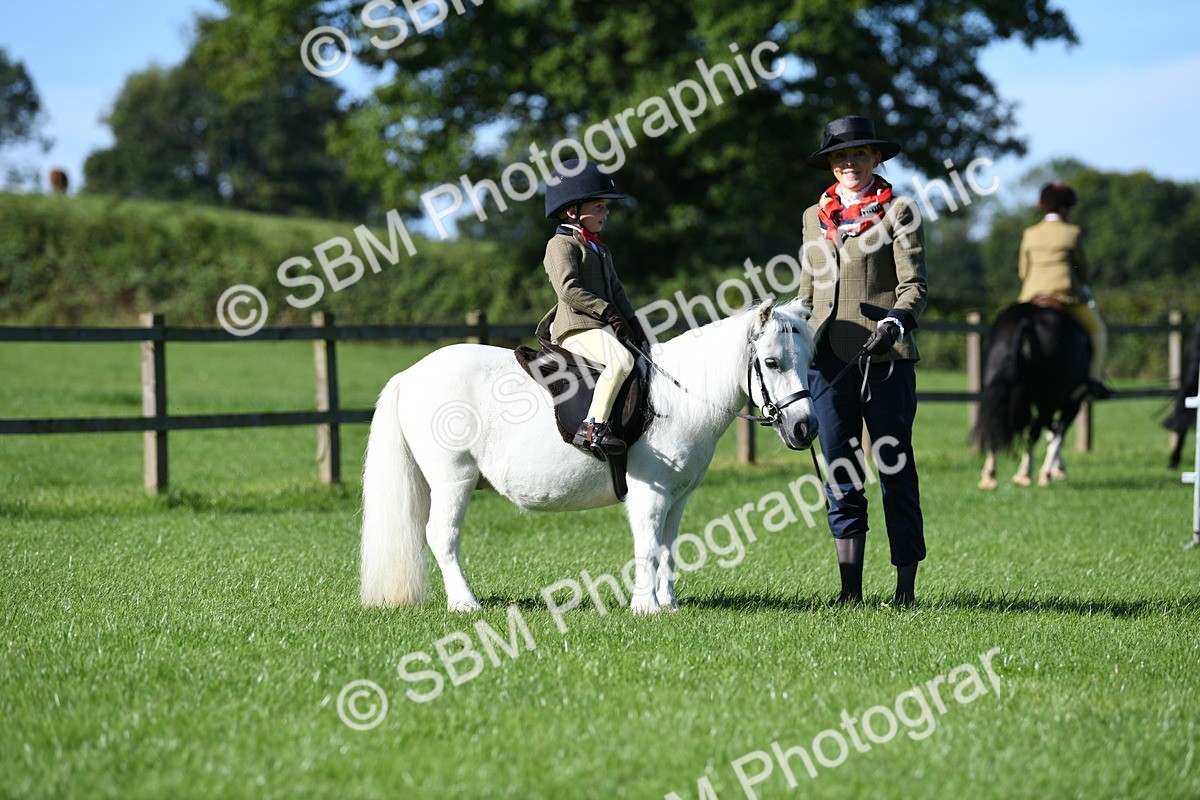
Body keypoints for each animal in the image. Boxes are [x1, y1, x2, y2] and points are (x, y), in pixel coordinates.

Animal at [360, 298, 819, 615]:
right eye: (772, 362)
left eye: (810, 361)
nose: (805, 429)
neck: (679, 396)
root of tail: (410, 374)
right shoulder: (650, 494)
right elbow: (648, 544)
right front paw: (646, 607)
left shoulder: (679, 497)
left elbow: (669, 547)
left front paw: (668, 604)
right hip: (453, 480)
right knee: (442, 535)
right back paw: (465, 603)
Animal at [972, 303, 1091, 489]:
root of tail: (1028, 320)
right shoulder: (1071, 403)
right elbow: (1057, 434)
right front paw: (1050, 471)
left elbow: (1052, 432)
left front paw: (1057, 468)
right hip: (1050, 400)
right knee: (1034, 434)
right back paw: (1027, 474)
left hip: (999, 390)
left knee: (995, 428)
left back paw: (990, 476)